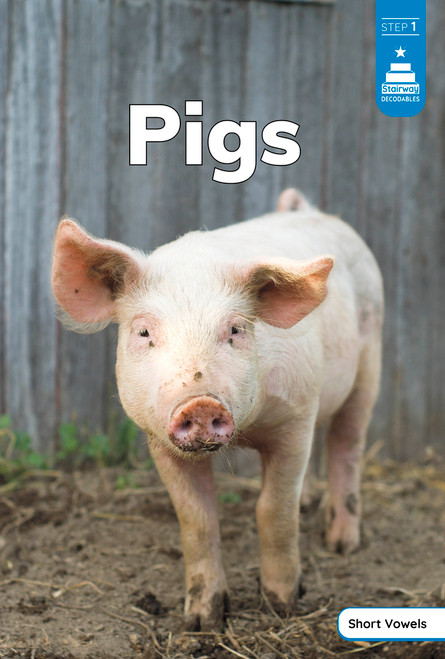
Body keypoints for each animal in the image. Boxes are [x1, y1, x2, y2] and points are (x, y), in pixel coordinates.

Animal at [51, 188, 383, 630]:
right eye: (143, 331)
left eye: (235, 330)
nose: (200, 402)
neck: (249, 430)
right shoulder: (159, 440)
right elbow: (196, 518)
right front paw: (201, 620)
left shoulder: (296, 415)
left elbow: (273, 509)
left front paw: (282, 606)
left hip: (370, 357)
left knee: (348, 443)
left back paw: (342, 544)